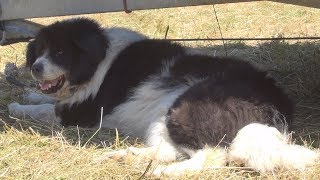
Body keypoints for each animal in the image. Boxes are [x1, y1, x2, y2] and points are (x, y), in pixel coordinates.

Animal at [7, 18, 318, 176]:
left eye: (60, 52)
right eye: (40, 50)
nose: (35, 68)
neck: (99, 56)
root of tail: (275, 102)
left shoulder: (80, 112)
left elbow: (45, 110)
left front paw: (16, 105)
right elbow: (46, 100)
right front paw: (28, 94)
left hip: (183, 110)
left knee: (210, 156)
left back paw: (163, 172)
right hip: (161, 116)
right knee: (169, 150)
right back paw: (125, 156)